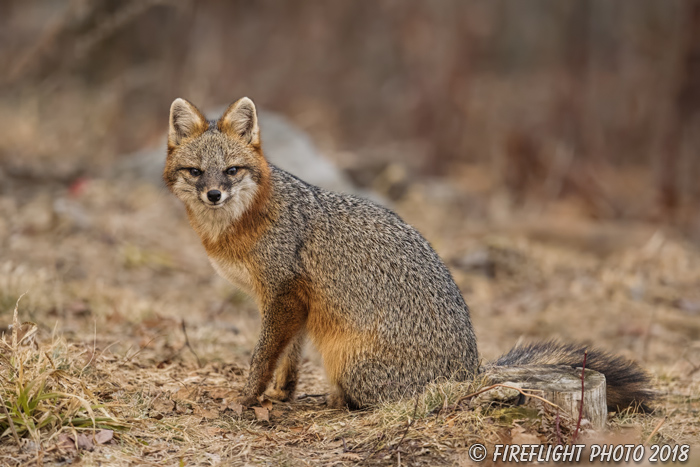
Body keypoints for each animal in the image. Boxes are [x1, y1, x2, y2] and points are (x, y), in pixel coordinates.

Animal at [161, 97, 652, 412]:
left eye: (231, 170)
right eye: (196, 171)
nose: (213, 194)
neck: (241, 224)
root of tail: (468, 372)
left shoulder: (283, 296)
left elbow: (263, 357)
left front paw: (248, 398)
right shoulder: (296, 303)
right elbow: (290, 358)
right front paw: (281, 394)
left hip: (349, 361)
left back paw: (338, 401)